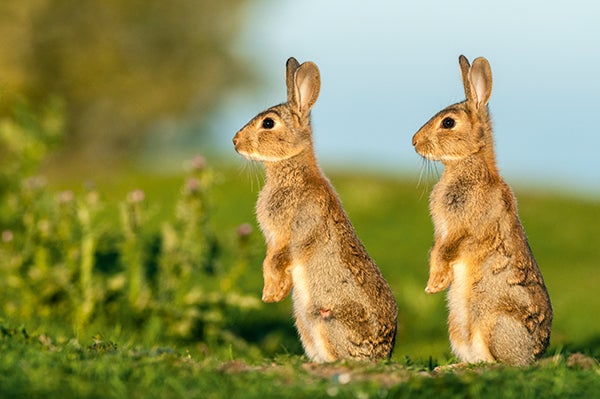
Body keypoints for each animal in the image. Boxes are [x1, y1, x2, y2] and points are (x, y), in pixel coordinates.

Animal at [232, 57, 396, 362]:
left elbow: (278, 258)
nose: (235, 142)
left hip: (325, 320)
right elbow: (270, 260)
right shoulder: (274, 240)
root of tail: (381, 355)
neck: (291, 170)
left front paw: (271, 294)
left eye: (268, 123)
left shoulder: (298, 229)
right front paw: (274, 293)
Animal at [412, 54, 552, 368]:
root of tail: (533, 356)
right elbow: (435, 251)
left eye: (448, 123)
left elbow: (446, 251)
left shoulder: (463, 230)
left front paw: (434, 286)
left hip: (492, 323)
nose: (413, 142)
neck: (468, 162)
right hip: (458, 326)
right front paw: (436, 285)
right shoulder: (442, 232)